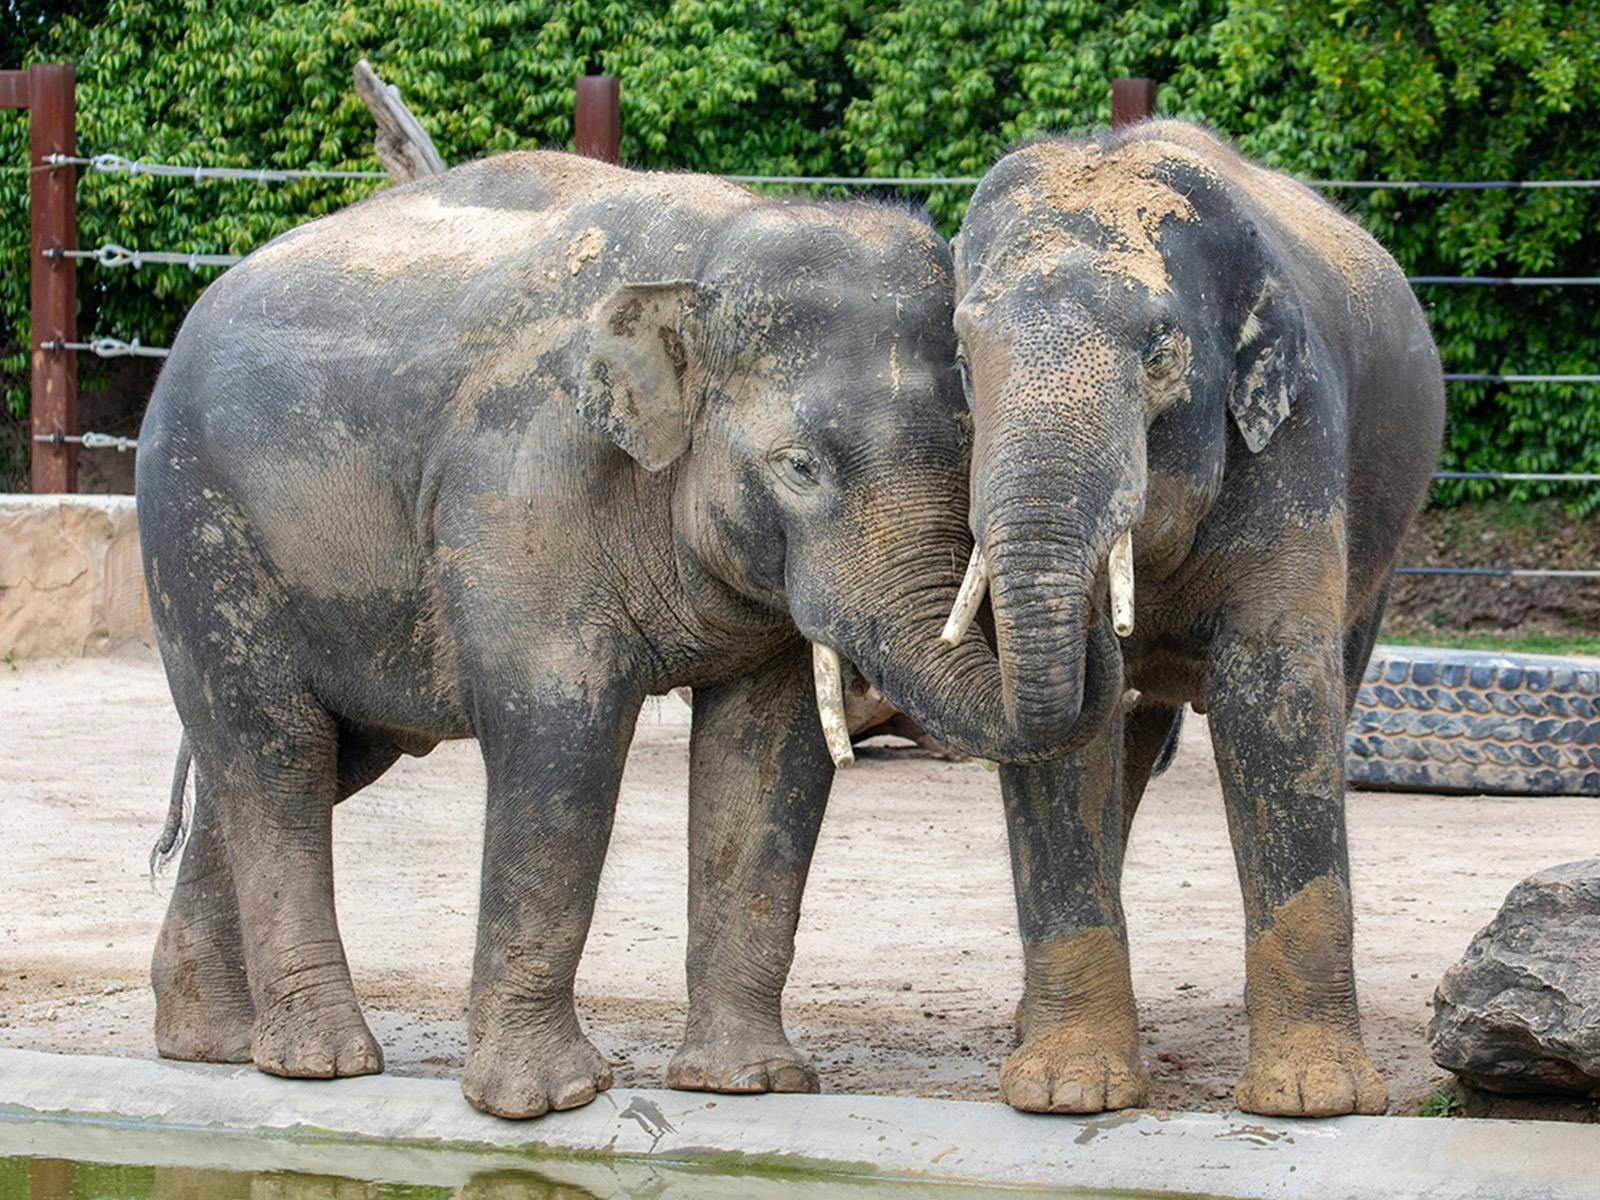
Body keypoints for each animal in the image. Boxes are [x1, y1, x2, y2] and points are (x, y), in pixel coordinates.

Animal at [136, 150, 1073, 1119]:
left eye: (969, 447)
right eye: (800, 468)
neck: (712, 254)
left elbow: (769, 754)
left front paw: (748, 1083)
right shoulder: (521, 484)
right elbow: (563, 737)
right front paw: (545, 1101)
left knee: (317, 760)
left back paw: (212, 1044)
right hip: (201, 530)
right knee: (275, 750)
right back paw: (320, 1062)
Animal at [944, 120, 1444, 1117]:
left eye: (1160, 353)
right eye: (965, 359)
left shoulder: (1296, 435)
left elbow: (1275, 701)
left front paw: (1314, 1098)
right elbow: (1072, 746)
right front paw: (1065, 1091)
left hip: (1386, 542)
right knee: (1130, 741)